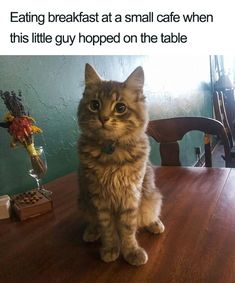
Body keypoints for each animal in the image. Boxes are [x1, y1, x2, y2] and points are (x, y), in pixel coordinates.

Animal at [77, 63, 163, 266]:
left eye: (120, 107)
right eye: (95, 105)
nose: (103, 118)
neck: (112, 154)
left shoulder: (131, 195)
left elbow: (128, 229)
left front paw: (131, 251)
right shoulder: (99, 199)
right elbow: (107, 228)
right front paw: (110, 249)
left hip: (152, 197)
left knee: (149, 215)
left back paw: (155, 224)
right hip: (84, 201)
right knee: (93, 221)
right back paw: (92, 231)